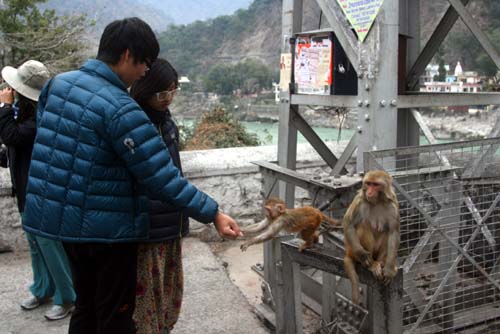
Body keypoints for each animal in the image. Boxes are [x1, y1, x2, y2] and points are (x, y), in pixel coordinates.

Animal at [342, 171, 400, 304]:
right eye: (368, 183)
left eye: (375, 184)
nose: (369, 191)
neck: (377, 201)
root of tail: (348, 251)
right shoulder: (360, 201)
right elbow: (349, 223)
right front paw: (363, 255)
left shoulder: (392, 205)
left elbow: (393, 232)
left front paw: (389, 268)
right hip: (352, 250)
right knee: (363, 226)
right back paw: (371, 264)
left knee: (387, 232)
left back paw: (381, 262)